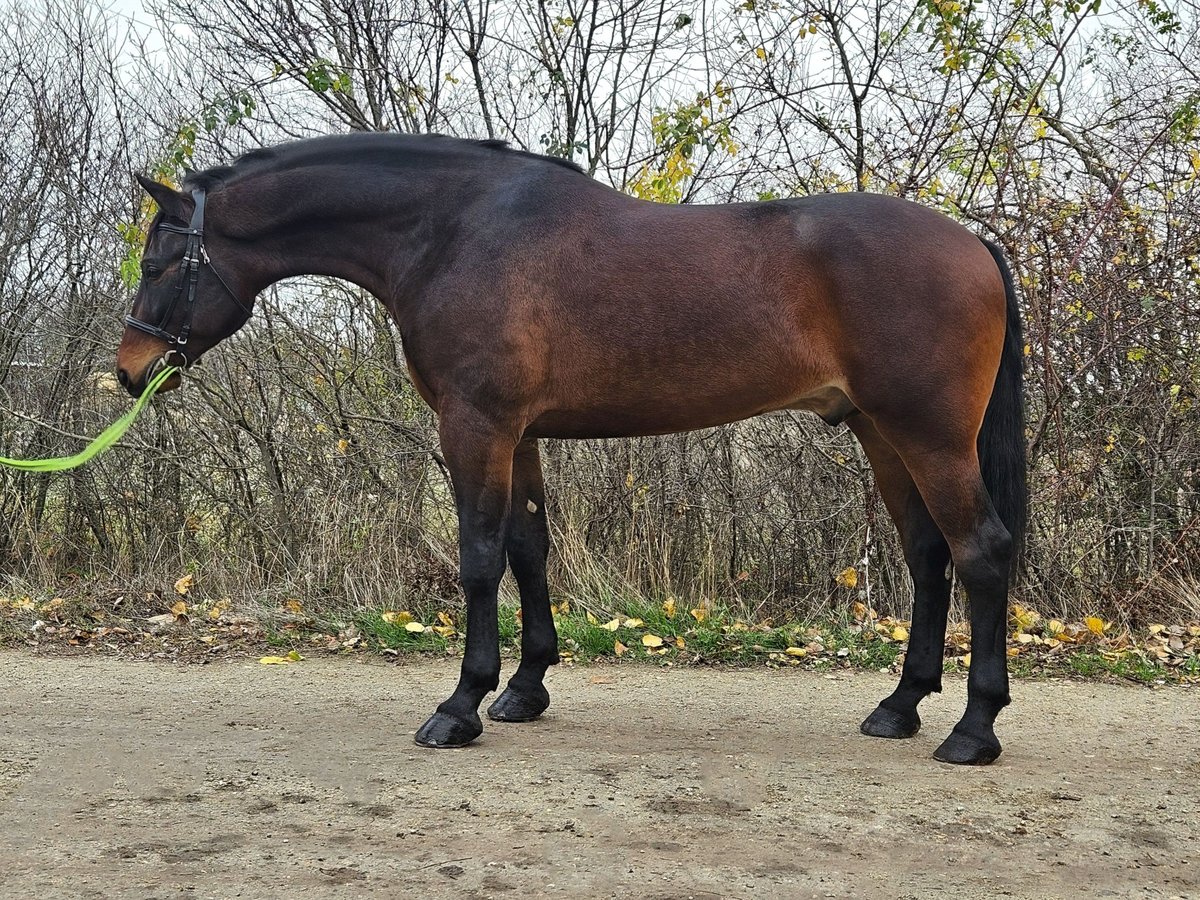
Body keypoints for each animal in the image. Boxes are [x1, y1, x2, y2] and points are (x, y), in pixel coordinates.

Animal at [116, 132, 1025, 765]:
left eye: (159, 262)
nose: (128, 372)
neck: (454, 232)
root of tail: (973, 244)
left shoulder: (476, 426)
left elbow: (479, 557)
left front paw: (460, 706)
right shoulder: (518, 435)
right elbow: (527, 547)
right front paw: (524, 689)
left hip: (929, 436)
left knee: (980, 551)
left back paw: (973, 729)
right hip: (881, 433)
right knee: (928, 555)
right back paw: (900, 707)